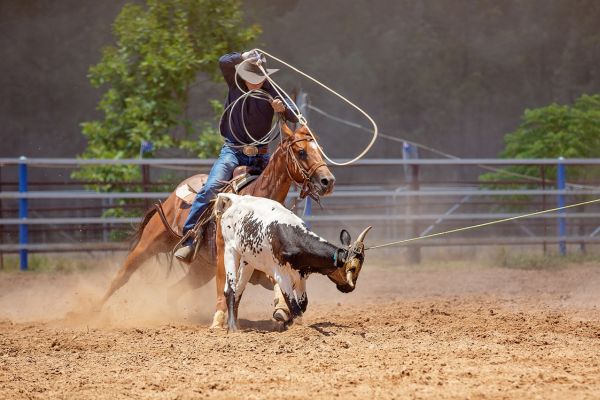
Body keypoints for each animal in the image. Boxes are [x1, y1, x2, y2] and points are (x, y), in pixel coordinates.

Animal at [96, 122, 336, 324]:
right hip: (149, 244)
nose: (328, 181)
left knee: (174, 290)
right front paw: (220, 317)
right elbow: (225, 285)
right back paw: (92, 310)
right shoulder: (224, 252)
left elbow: (274, 282)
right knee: (122, 276)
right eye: (301, 151)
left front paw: (281, 310)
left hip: (200, 270)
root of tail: (173, 195)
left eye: (319, 149)